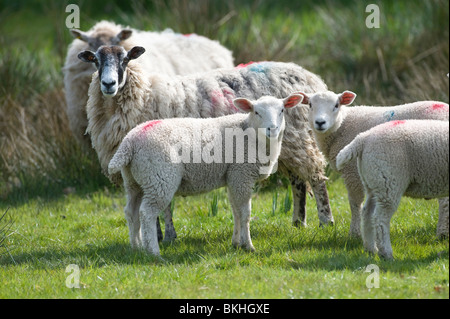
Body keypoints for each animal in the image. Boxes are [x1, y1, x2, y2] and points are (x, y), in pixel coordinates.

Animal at [107, 94, 304, 256]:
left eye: (282, 110)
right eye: (256, 112)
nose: (273, 129)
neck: (250, 135)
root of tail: (129, 142)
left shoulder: (232, 177)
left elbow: (235, 211)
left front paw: (236, 243)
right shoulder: (242, 175)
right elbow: (245, 213)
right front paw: (248, 246)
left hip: (135, 180)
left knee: (131, 212)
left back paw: (137, 247)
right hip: (159, 177)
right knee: (147, 213)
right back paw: (154, 252)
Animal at [298, 90, 450, 238]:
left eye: (336, 105)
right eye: (310, 104)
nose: (320, 122)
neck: (342, 125)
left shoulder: (352, 171)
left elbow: (355, 203)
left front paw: (354, 233)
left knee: (444, 202)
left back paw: (442, 233)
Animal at [336, 120, 448, 260]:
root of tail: (363, 138)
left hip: (373, 183)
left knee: (367, 213)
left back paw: (371, 249)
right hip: (388, 180)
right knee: (380, 219)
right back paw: (386, 253)